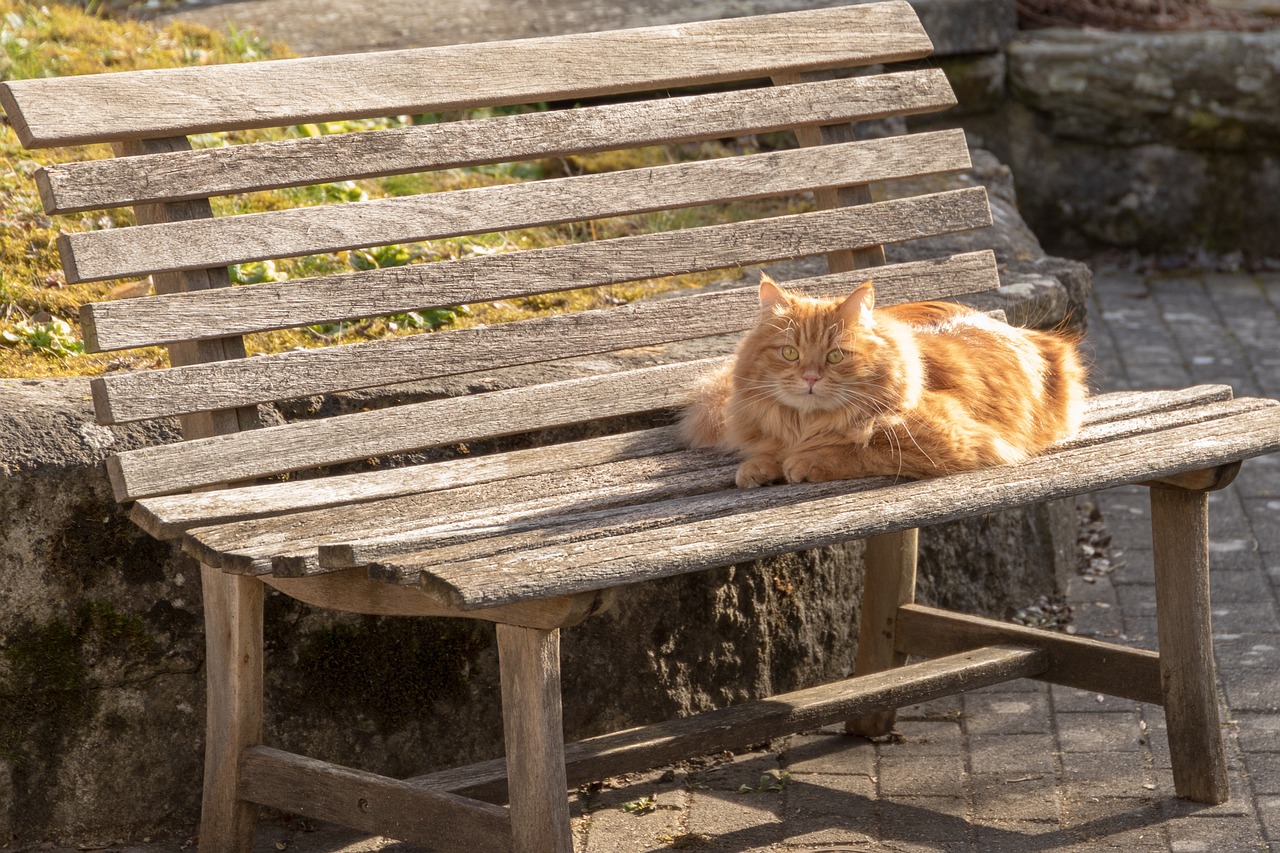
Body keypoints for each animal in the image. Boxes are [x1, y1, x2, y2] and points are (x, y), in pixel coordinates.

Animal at [686, 272, 1085, 484]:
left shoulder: (955, 441)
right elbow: (769, 450)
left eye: (835, 356)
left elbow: (860, 451)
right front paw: (761, 466)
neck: (807, 424)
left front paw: (803, 461)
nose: (810, 378)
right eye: (790, 353)